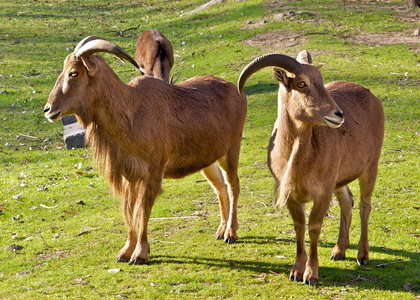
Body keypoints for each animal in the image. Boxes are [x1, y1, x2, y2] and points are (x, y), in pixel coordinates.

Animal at [43, 37, 246, 264]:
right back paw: (221, 230)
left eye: (73, 73)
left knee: (233, 185)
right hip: (209, 160)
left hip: (231, 150)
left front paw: (139, 253)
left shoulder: (152, 174)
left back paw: (231, 233)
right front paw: (125, 251)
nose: (48, 109)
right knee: (220, 187)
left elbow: (142, 211)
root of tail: (237, 91)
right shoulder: (130, 176)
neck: (131, 111)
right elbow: (131, 211)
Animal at [238, 52, 382, 286]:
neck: (298, 159)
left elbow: (314, 228)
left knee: (364, 206)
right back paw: (339, 250)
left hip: (370, 167)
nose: (339, 115)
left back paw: (362, 255)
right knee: (347, 201)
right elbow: (299, 227)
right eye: (301, 83)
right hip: (339, 179)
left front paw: (311, 274)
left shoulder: (322, 193)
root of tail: (371, 96)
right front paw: (296, 271)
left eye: (322, 81)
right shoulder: (292, 194)